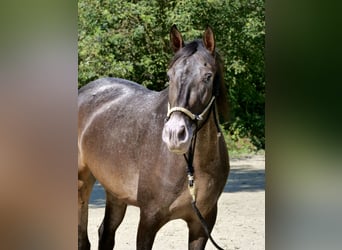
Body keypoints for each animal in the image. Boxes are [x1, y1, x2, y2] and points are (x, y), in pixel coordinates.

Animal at [78, 23, 230, 250]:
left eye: (208, 76)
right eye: (169, 76)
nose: (175, 134)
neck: (191, 169)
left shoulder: (202, 225)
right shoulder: (149, 219)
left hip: (115, 193)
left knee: (106, 234)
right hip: (82, 183)